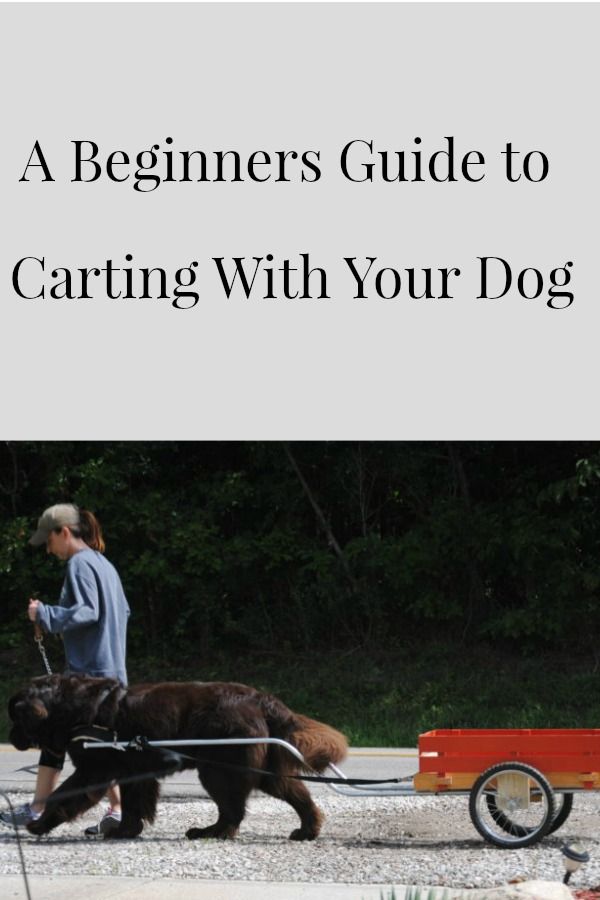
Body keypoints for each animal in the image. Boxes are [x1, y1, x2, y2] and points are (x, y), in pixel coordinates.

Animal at [8, 680, 346, 840]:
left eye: (14, 717)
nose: (10, 737)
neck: (70, 708)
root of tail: (262, 698)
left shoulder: (94, 770)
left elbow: (64, 794)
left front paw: (38, 825)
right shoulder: (134, 770)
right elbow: (134, 803)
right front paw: (125, 830)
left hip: (218, 768)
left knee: (232, 809)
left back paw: (210, 832)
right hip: (257, 767)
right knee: (294, 792)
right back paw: (307, 830)